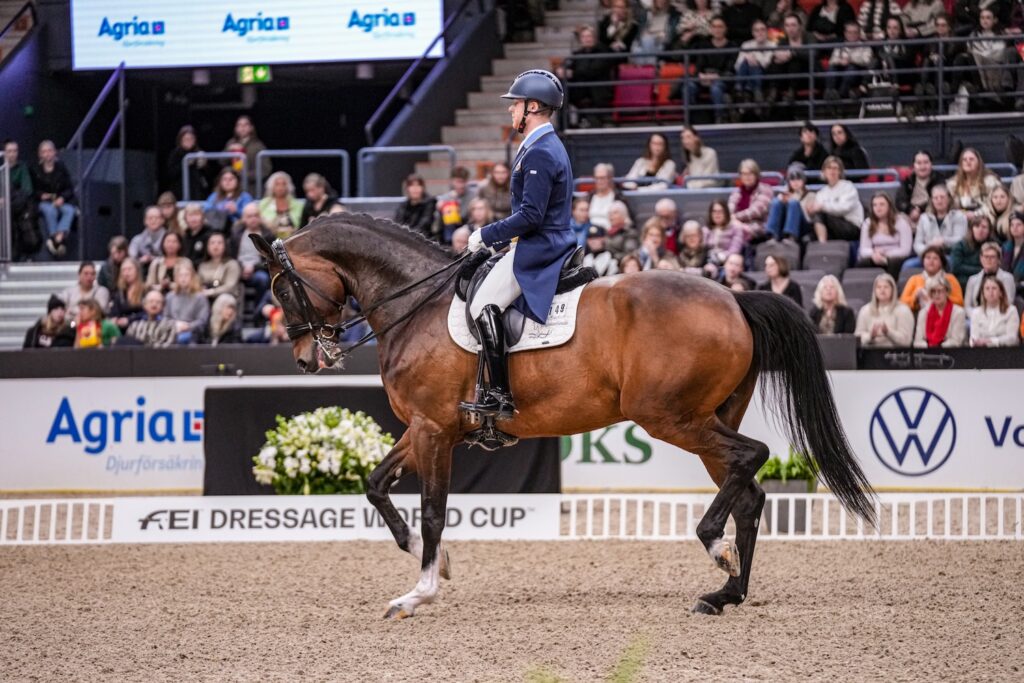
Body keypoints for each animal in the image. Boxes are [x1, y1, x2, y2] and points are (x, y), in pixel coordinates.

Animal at [250, 213, 875, 619]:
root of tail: (733, 298)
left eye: (281, 288)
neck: (414, 303)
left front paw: (419, 593)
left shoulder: (433, 431)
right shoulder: (429, 428)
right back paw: (725, 593)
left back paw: (715, 548)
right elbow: (376, 484)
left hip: (673, 418)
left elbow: (431, 512)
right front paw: (439, 566)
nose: (307, 359)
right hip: (707, 420)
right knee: (749, 492)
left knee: (753, 457)